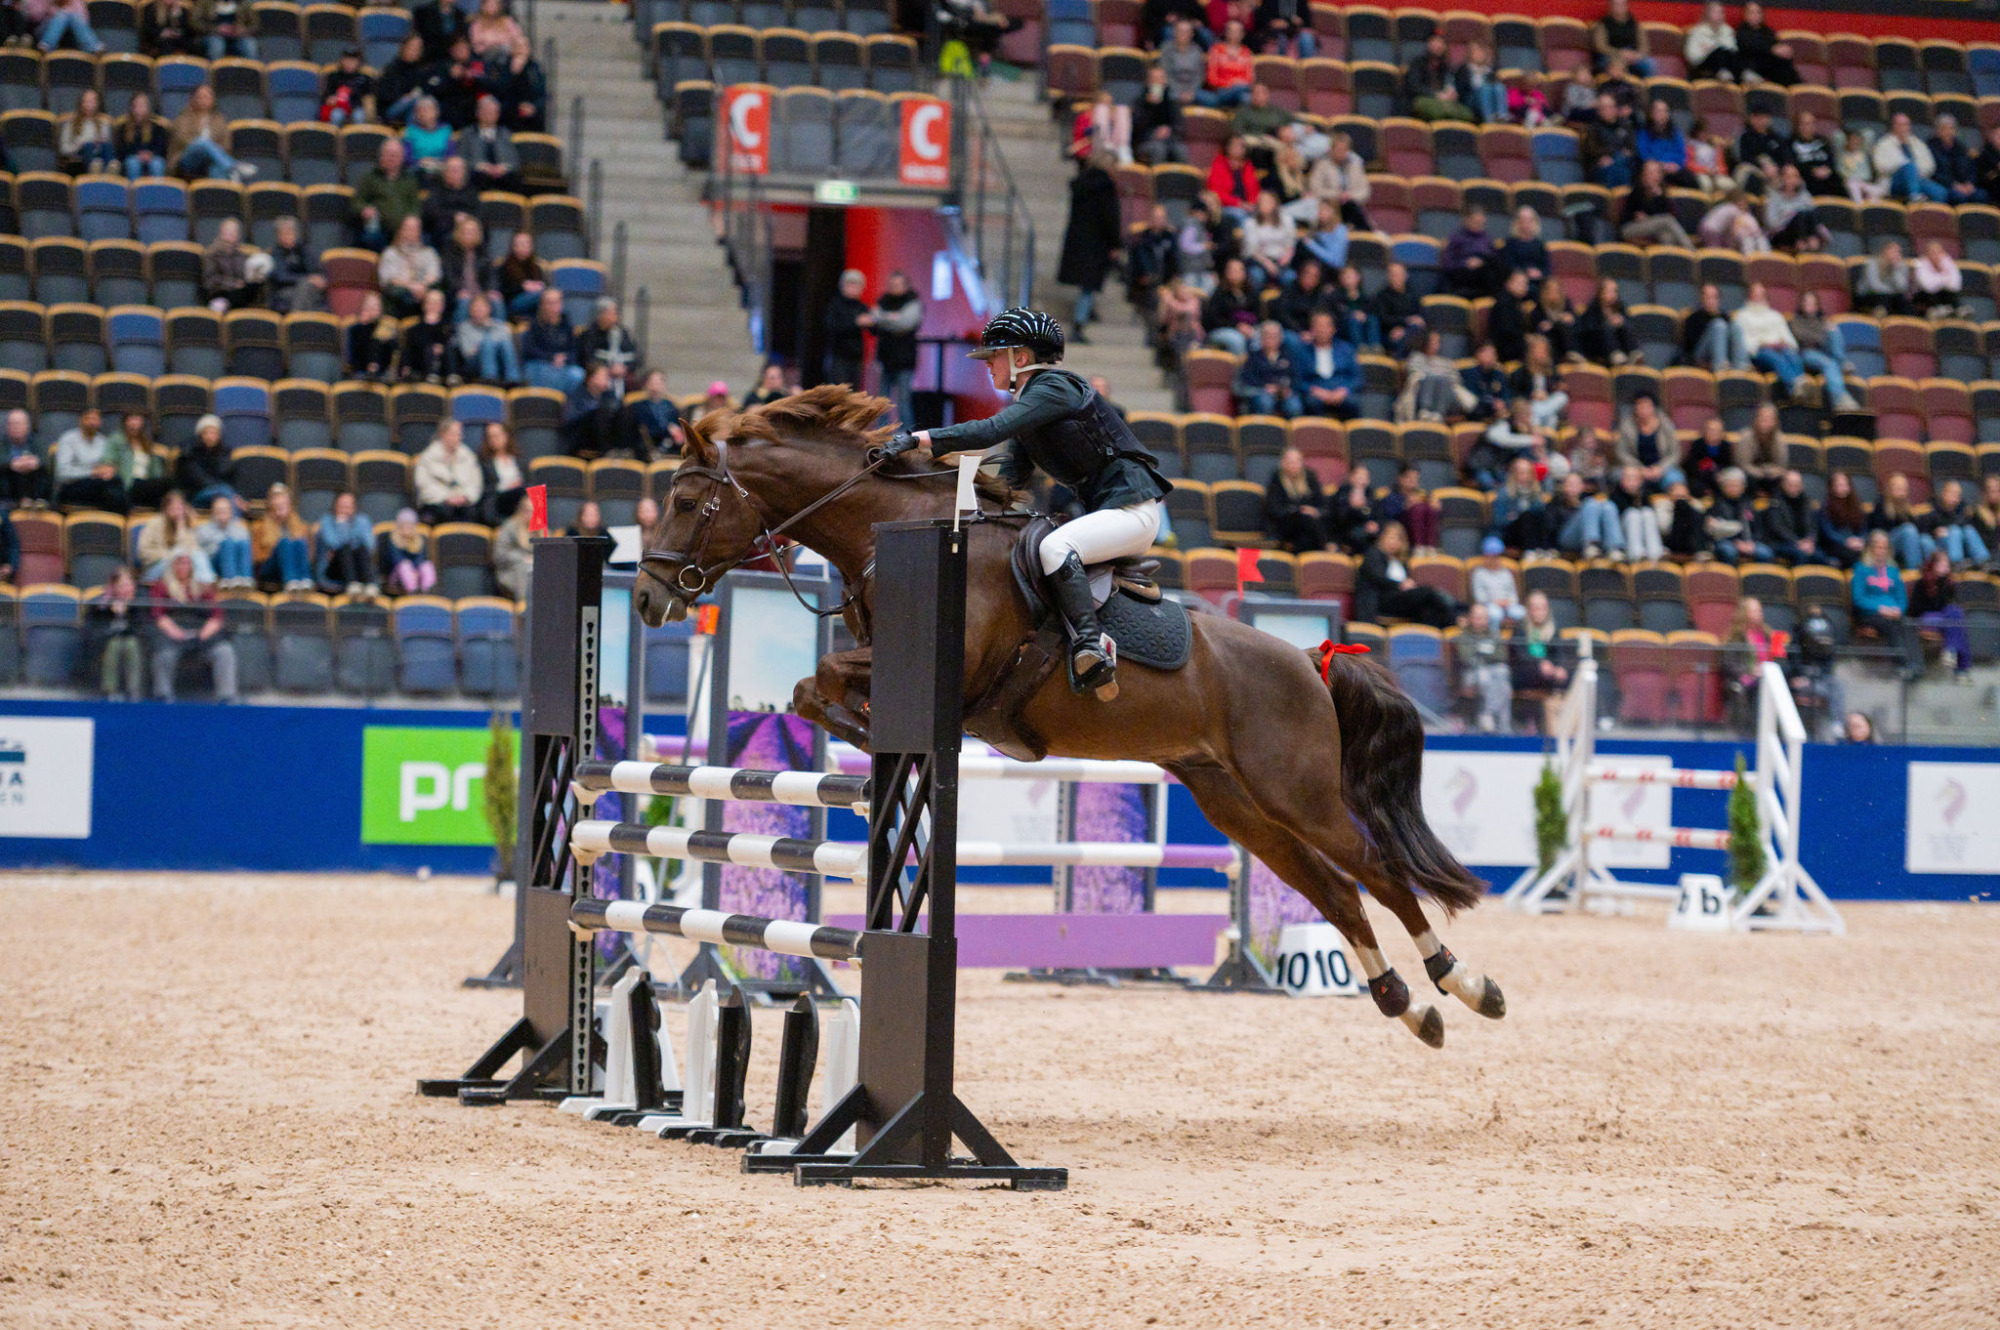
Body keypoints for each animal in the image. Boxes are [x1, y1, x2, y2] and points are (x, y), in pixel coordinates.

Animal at [635, 386, 1505, 1047]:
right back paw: (1409, 1006)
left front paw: (874, 741)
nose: (646, 599)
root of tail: (1308, 658)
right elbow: (809, 692)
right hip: (1235, 802)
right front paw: (868, 745)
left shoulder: (955, 668)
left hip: (1299, 794)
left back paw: (1465, 983)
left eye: (688, 500)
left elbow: (820, 683)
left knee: (1379, 871)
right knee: (1335, 890)